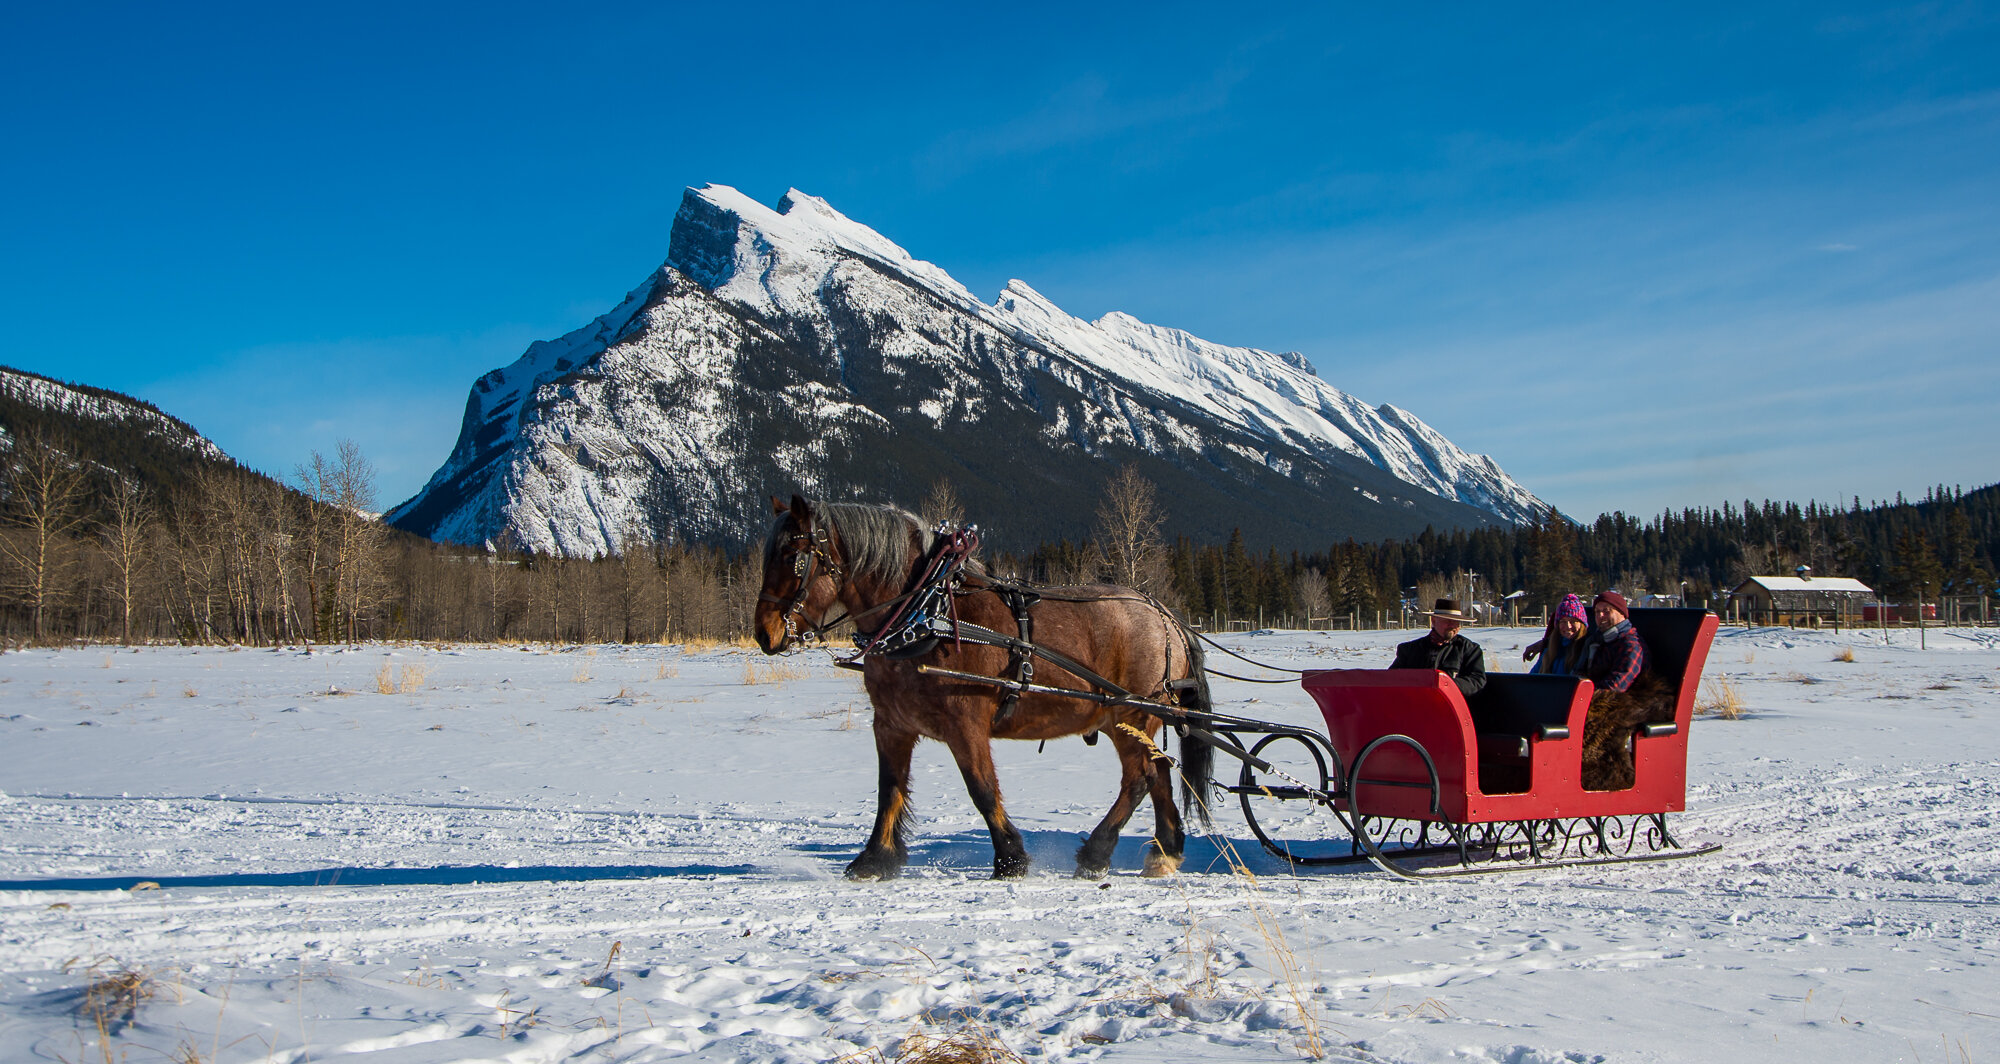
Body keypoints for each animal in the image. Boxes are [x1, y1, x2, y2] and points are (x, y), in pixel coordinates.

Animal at [752, 494, 1208, 876]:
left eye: (793, 556)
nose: (764, 634)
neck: (925, 617)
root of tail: (1166, 616)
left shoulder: (965, 724)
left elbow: (982, 789)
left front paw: (1010, 859)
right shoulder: (891, 725)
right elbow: (889, 789)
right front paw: (875, 859)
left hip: (1133, 714)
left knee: (1139, 779)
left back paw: (1096, 854)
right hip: (1134, 720)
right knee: (1159, 773)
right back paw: (1166, 851)